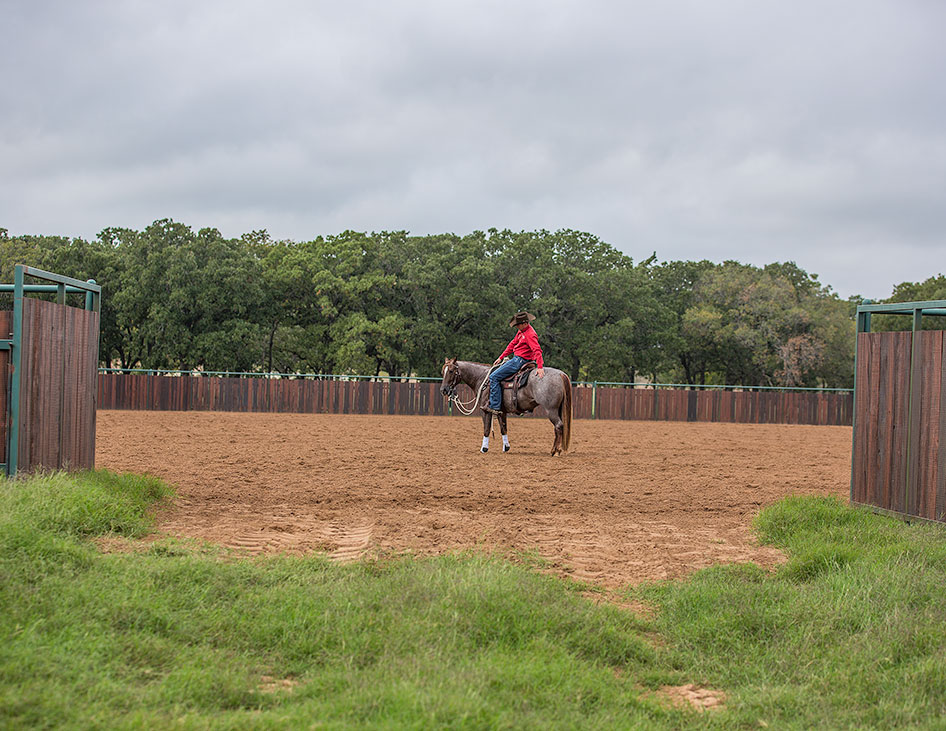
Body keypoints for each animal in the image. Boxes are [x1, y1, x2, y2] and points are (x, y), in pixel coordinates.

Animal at [438, 358, 572, 454]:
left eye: (451, 371)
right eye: (443, 371)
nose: (444, 390)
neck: (482, 378)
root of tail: (561, 374)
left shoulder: (485, 410)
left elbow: (486, 429)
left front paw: (484, 448)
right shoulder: (501, 411)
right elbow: (504, 428)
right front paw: (506, 447)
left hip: (551, 410)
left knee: (558, 426)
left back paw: (555, 450)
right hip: (558, 409)